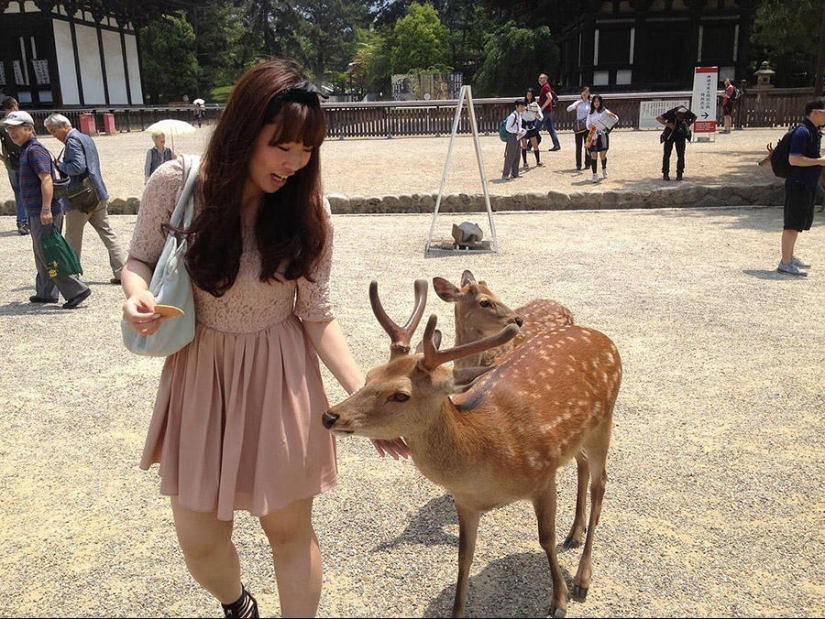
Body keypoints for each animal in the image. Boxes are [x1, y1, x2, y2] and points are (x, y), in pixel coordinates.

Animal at [322, 282, 616, 619]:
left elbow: (545, 538)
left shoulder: (543, 476)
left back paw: (582, 577)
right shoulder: (464, 501)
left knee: (600, 483)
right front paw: (457, 611)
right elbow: (465, 555)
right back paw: (575, 533)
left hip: (604, 420)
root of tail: (604, 338)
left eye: (401, 395)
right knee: (582, 464)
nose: (330, 416)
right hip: (579, 435)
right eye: (370, 374)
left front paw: (559, 599)